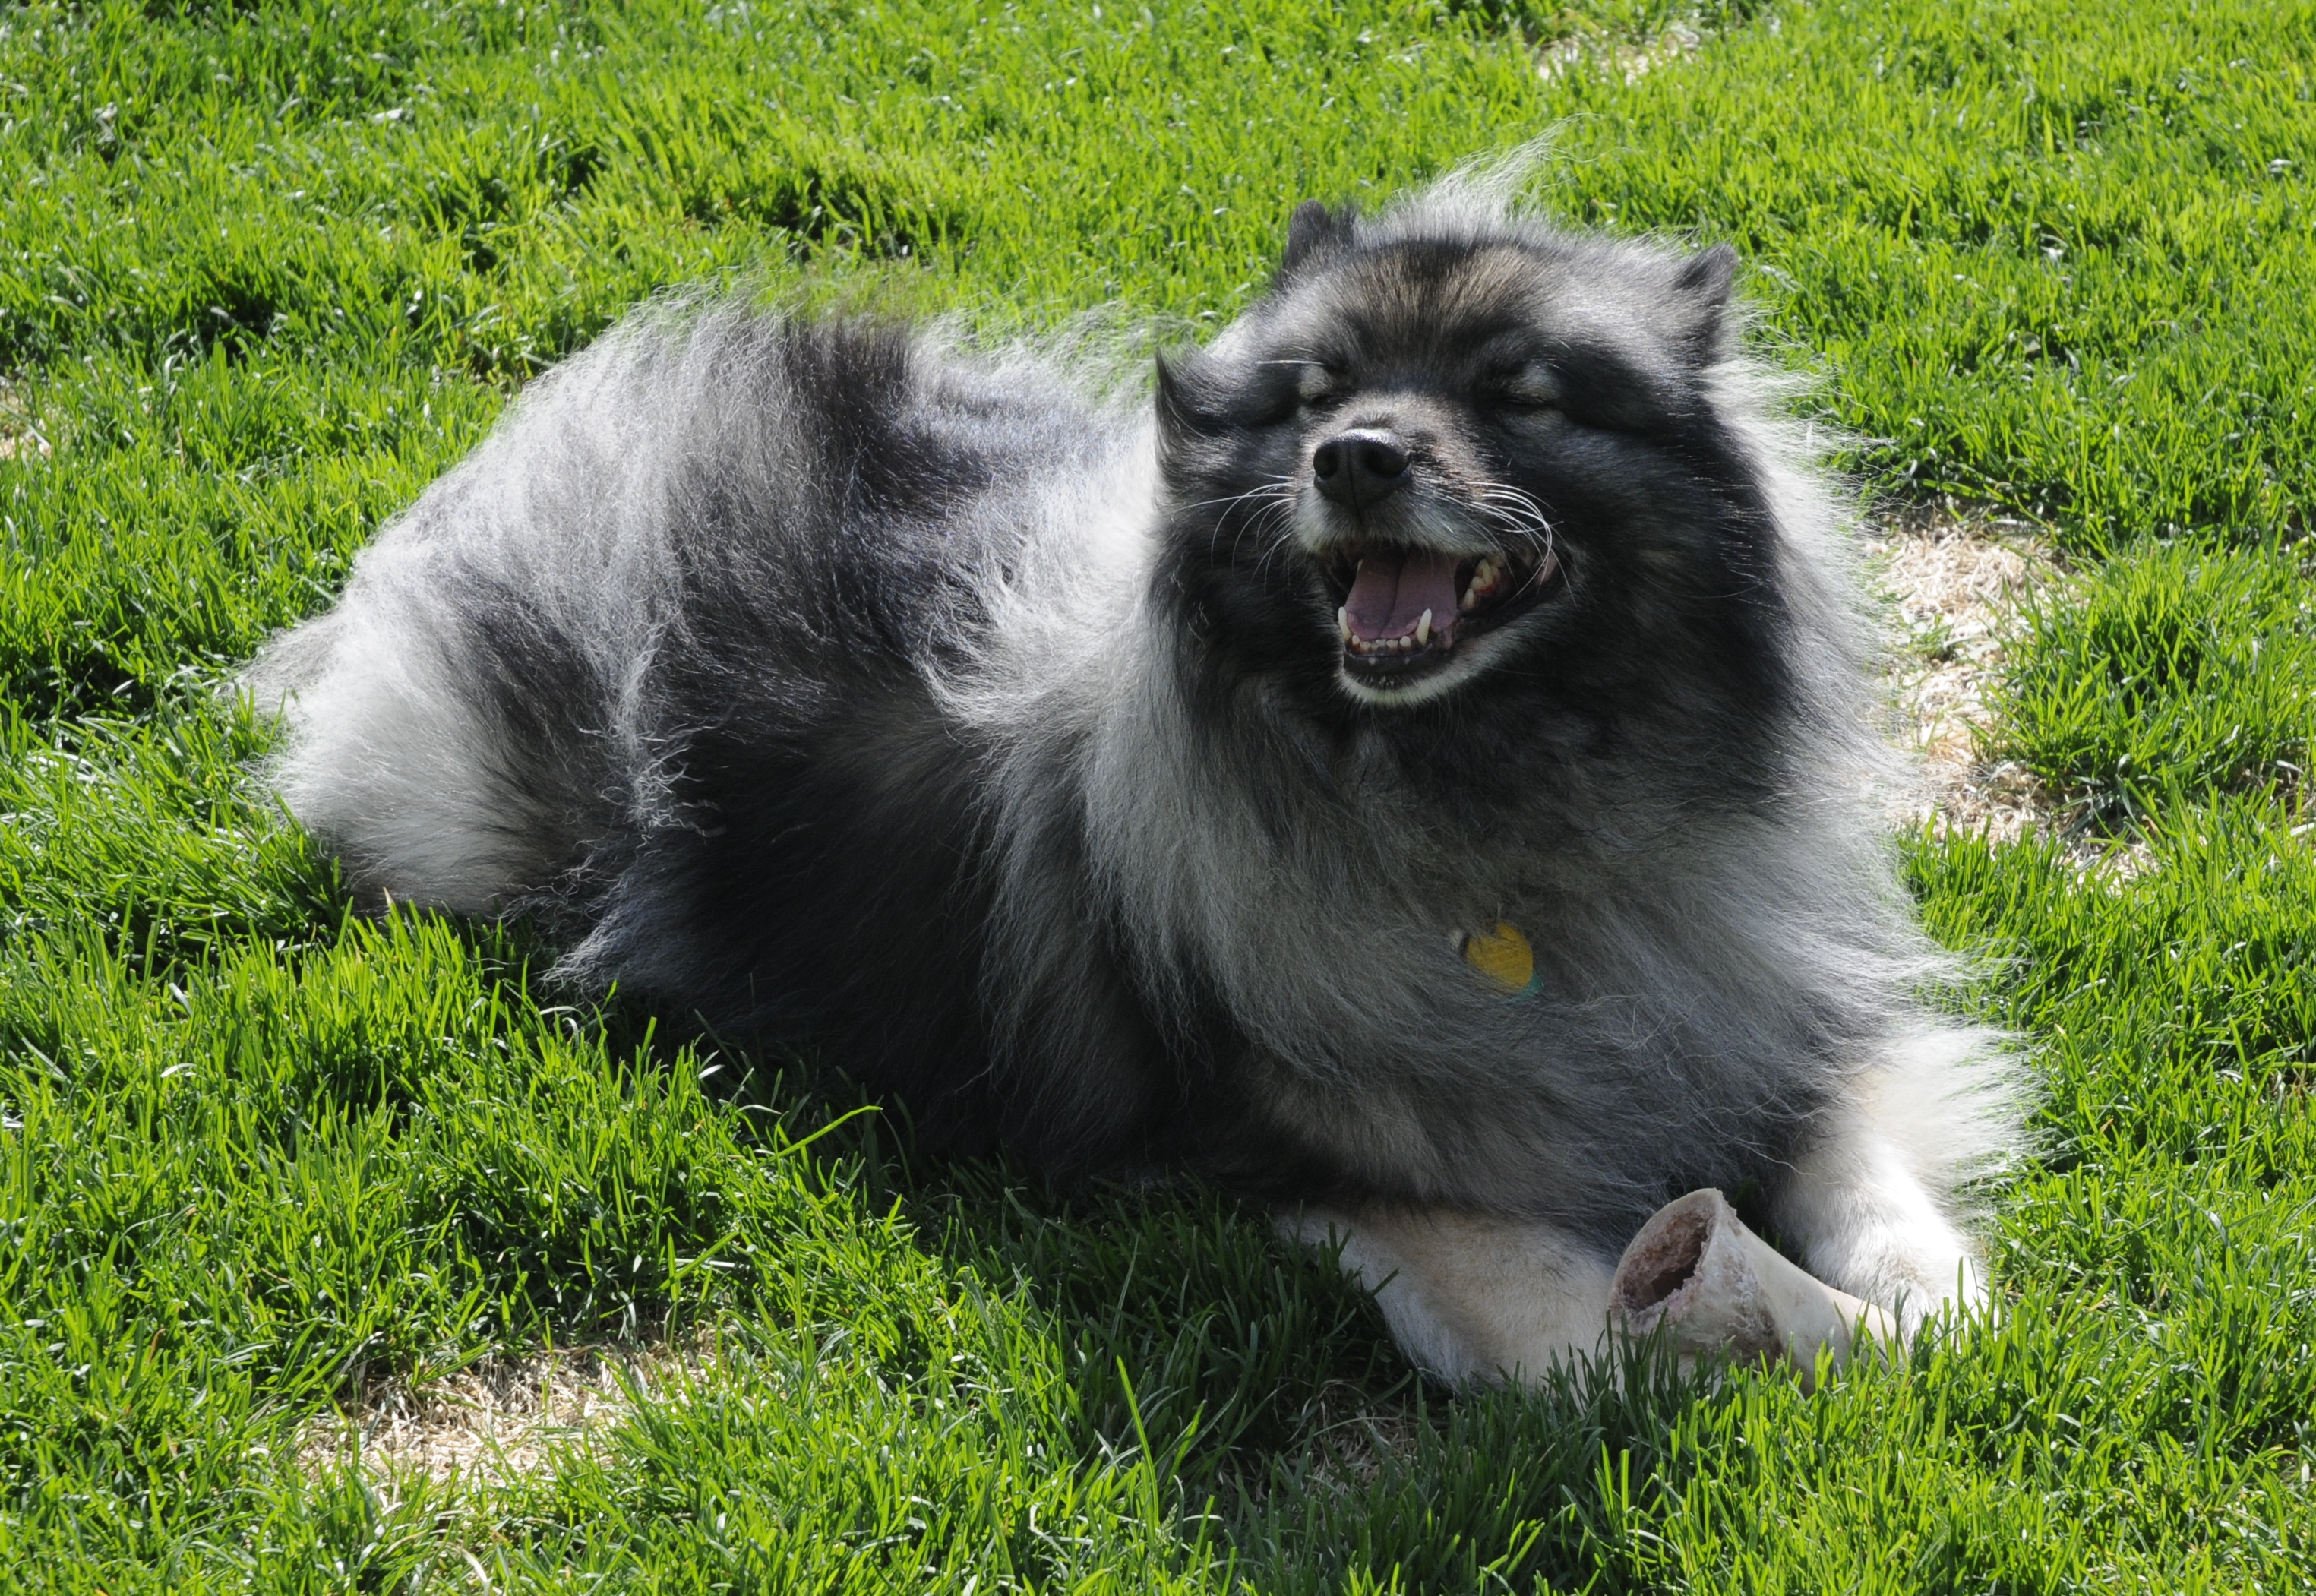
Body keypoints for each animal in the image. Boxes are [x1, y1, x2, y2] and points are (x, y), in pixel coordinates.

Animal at [253, 164, 2019, 1380]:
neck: (1505, 809)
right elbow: (1600, 1348)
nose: (1353, 458)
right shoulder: (1356, 1173)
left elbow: (1877, 1193)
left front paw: (1922, 1303)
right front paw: (1811, 1342)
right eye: (1314, 396)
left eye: (1517, 394)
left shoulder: (1767, 1019)